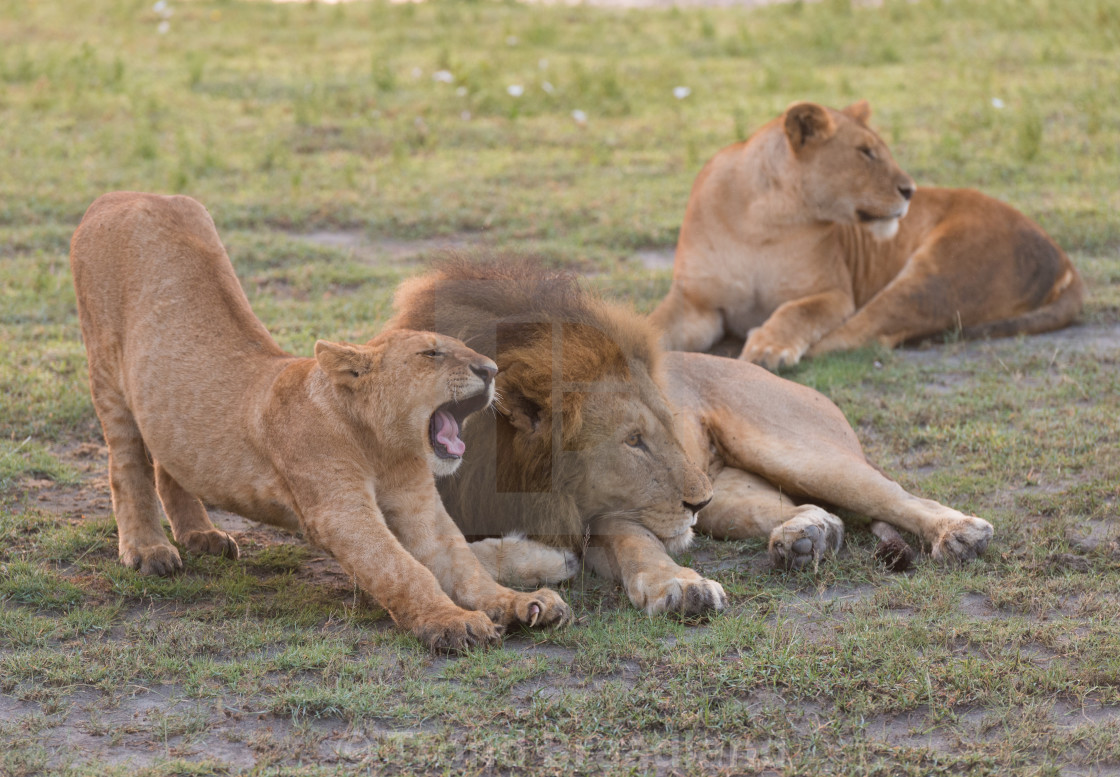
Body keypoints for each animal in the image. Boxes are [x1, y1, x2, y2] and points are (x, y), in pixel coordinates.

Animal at [70, 193, 568, 649]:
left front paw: (521, 602)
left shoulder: (421, 506)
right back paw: (148, 550)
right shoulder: (340, 511)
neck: (382, 447)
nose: (491, 369)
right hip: (106, 373)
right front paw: (452, 622)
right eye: (431, 353)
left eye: (465, 348)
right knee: (126, 466)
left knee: (169, 458)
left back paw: (201, 535)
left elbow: (464, 566)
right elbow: (403, 569)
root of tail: (125, 194)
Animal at [387, 258, 990, 618]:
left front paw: (678, 585)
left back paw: (961, 533)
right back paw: (806, 538)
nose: (695, 501)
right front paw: (537, 562)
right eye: (633, 440)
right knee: (804, 510)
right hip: (727, 494)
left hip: (794, 453)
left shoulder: (604, 513)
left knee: (894, 495)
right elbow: (434, 553)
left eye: (663, 427)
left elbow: (636, 543)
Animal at [654, 99, 1079, 367]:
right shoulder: (696, 300)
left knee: (867, 333)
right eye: (866, 152)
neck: (761, 221)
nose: (910, 190)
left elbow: (796, 311)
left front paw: (770, 346)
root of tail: (1064, 258)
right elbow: (658, 322)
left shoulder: (834, 294)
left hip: (937, 273)